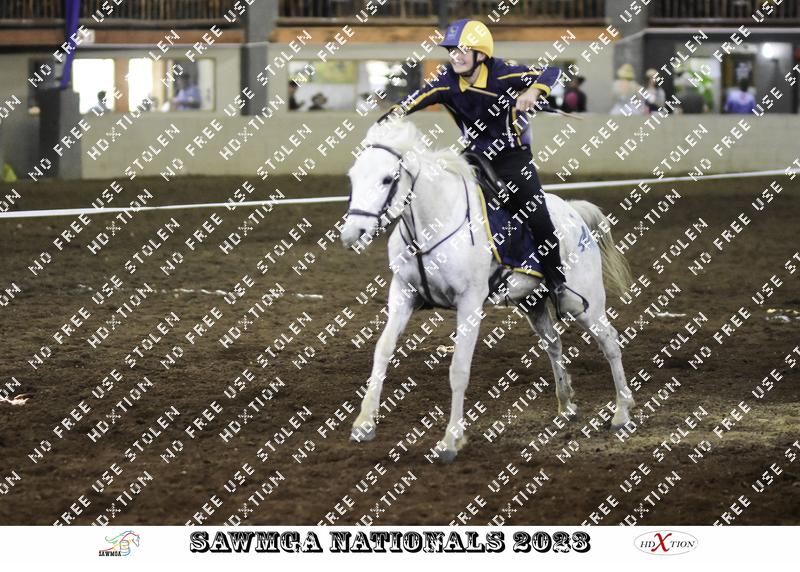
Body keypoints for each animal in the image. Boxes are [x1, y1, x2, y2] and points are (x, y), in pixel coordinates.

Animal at [341, 119, 634, 463]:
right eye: (353, 177)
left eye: (388, 178)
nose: (352, 233)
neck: (435, 224)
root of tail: (575, 214)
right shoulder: (403, 293)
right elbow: (383, 350)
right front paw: (364, 423)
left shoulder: (469, 304)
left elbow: (459, 369)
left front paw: (450, 441)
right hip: (533, 303)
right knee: (554, 344)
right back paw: (566, 406)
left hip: (584, 303)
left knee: (610, 342)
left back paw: (622, 413)